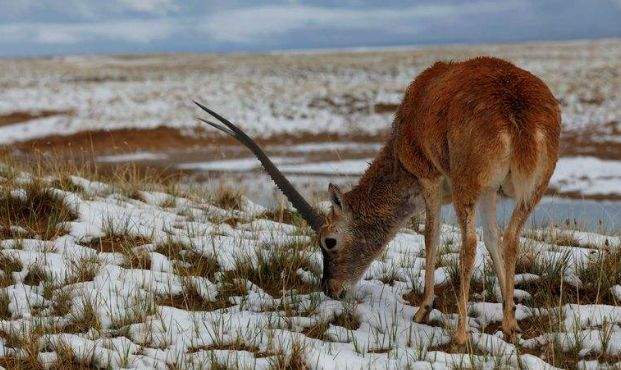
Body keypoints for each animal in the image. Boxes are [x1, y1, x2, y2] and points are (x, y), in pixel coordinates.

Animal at [195, 55, 560, 344]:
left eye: (329, 241)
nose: (331, 289)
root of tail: (514, 106)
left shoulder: (430, 179)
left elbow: (431, 236)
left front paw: (423, 310)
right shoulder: (488, 192)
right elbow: (493, 240)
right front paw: (510, 318)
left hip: (465, 187)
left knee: (468, 243)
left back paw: (459, 335)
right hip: (531, 189)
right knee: (510, 238)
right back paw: (509, 326)